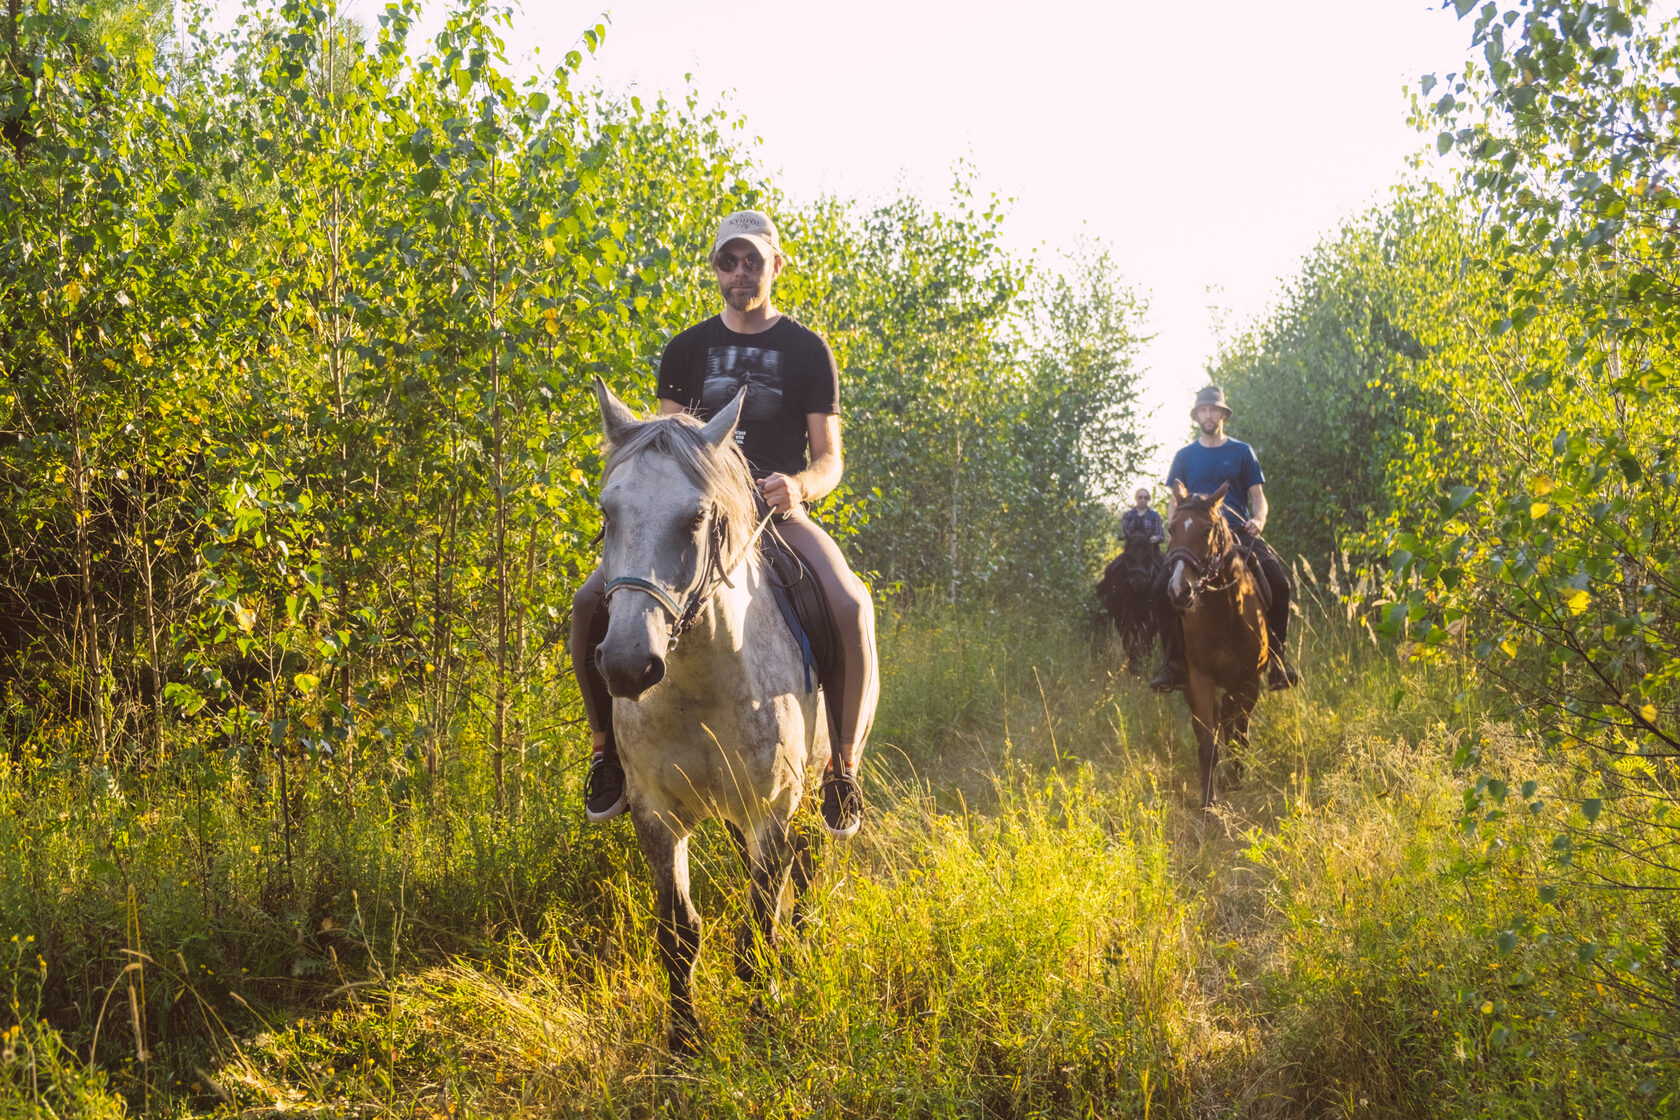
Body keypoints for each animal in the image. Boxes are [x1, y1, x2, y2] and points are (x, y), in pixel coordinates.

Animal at [591, 381, 826, 1054]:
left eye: (696, 517)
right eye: (607, 513)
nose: (627, 665)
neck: (699, 686)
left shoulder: (771, 810)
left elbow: (757, 932)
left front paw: (766, 1016)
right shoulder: (656, 813)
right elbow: (679, 933)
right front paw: (684, 1039)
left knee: (807, 872)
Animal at [1095, 520, 1162, 675]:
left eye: (1148, 555)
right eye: (1128, 555)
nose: (1138, 582)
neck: (1138, 595)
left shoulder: (1151, 619)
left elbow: (1145, 643)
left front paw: (1141, 666)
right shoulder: (1123, 618)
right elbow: (1129, 644)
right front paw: (1134, 667)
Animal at [1176, 476, 1263, 809]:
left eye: (1206, 531)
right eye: (1171, 528)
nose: (1179, 590)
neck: (1224, 615)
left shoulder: (1249, 680)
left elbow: (1237, 731)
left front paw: (1235, 778)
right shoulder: (1200, 679)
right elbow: (1207, 740)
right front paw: (1208, 800)